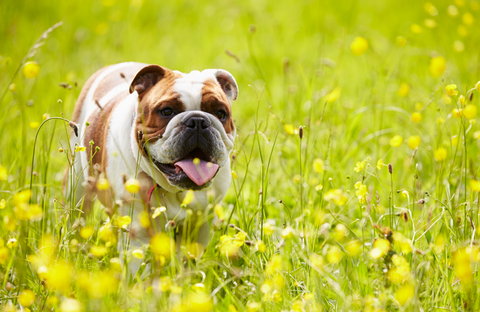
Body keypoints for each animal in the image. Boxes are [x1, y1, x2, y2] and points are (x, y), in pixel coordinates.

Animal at [69, 62, 238, 254]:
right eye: (167, 111)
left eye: (221, 113)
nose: (198, 121)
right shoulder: (135, 228)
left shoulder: (200, 225)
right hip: (76, 186)